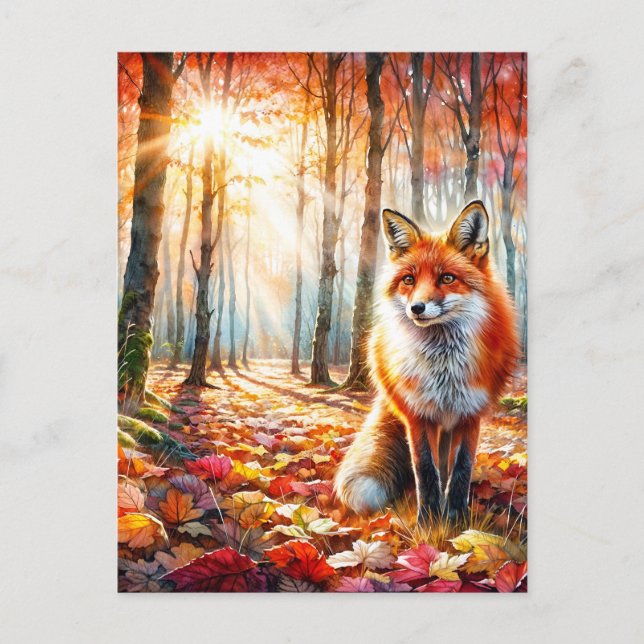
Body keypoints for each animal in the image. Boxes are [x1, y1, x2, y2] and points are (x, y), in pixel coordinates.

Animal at [335, 200, 518, 525]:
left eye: (447, 278)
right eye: (409, 280)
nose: (416, 308)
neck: (443, 368)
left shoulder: (470, 413)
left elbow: (460, 470)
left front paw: (456, 520)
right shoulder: (418, 414)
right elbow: (425, 470)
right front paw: (428, 522)